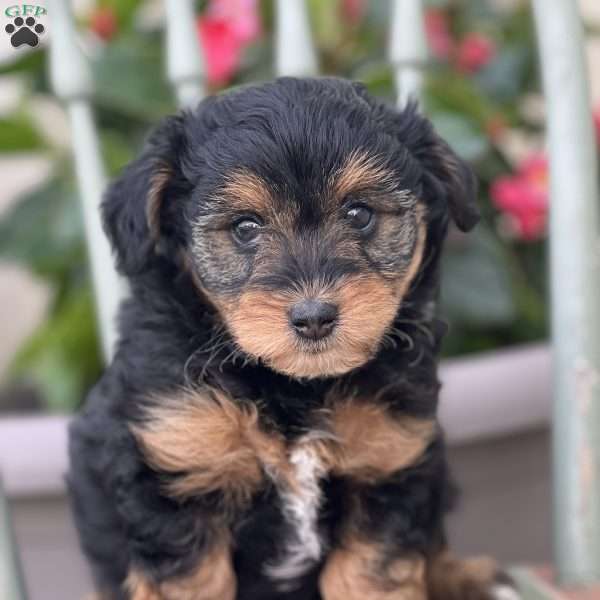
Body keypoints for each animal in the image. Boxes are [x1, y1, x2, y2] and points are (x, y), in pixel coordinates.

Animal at [67, 78, 516, 600]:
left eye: (360, 213)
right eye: (245, 227)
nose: (314, 316)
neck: (294, 386)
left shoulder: (388, 458)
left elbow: (371, 572)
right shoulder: (176, 460)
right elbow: (191, 580)